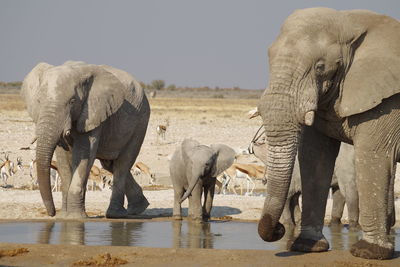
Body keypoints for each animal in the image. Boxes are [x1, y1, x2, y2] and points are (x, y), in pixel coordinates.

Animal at [19, 61, 150, 220]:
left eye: (72, 101)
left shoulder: (93, 111)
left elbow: (84, 154)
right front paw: (64, 217)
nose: (52, 213)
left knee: (123, 163)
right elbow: (62, 157)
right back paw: (139, 208)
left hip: (140, 122)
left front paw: (75, 217)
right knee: (110, 164)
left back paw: (116, 214)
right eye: (38, 101)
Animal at [256, 7, 400, 260]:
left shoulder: (387, 99)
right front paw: (308, 246)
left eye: (320, 67)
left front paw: (368, 252)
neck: (349, 21)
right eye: (269, 58)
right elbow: (315, 156)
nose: (279, 230)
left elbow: (373, 155)